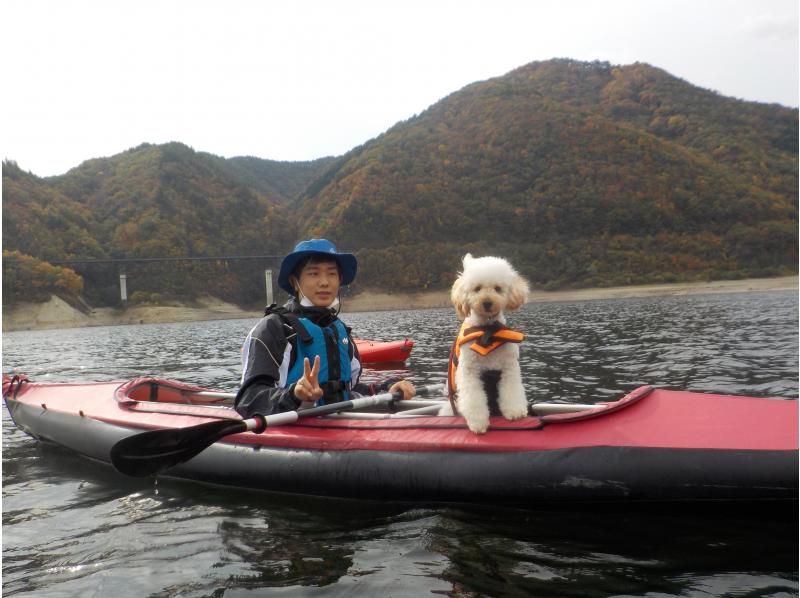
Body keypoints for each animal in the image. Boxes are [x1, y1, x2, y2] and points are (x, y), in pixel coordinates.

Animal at [446, 254, 528, 436]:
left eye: (498, 288)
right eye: (477, 288)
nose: (487, 302)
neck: (487, 331)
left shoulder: (509, 367)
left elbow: (511, 390)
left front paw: (515, 411)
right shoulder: (469, 372)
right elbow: (473, 398)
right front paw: (478, 422)